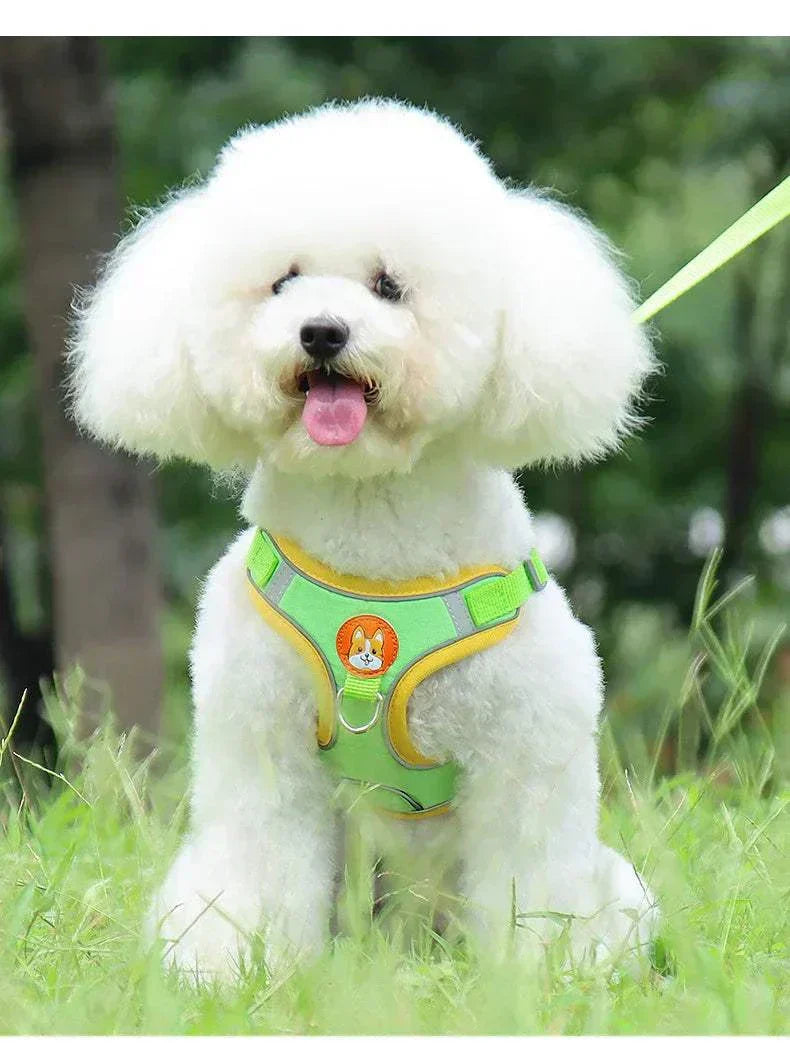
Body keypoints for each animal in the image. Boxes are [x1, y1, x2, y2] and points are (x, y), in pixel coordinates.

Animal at [69, 95, 659, 976]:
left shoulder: (524, 750)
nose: (321, 331)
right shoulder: (262, 743)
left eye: (389, 285)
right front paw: (237, 969)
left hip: (608, 882)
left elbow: (532, 876)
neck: (368, 521)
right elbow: (261, 866)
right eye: (282, 281)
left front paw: (536, 975)